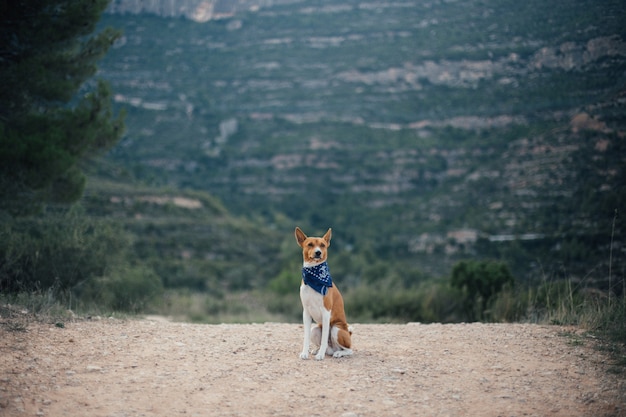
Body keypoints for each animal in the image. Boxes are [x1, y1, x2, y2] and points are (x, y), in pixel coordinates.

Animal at [294, 226, 352, 360]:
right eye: (310, 244)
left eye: (322, 245)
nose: (318, 252)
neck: (314, 277)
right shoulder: (306, 312)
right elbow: (306, 337)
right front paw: (304, 353)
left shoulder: (326, 312)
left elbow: (325, 337)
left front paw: (320, 355)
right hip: (315, 329)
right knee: (325, 346)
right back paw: (318, 350)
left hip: (336, 329)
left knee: (349, 349)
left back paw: (336, 353)